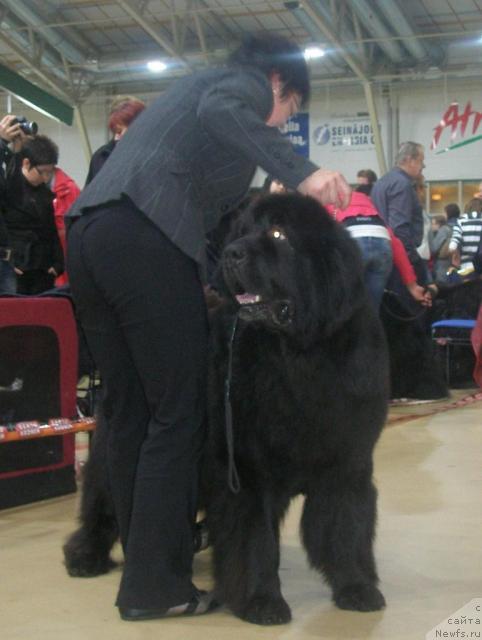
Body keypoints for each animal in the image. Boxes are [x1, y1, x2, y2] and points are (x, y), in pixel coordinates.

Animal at [64, 194, 390, 624]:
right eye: (242, 232)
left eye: (278, 234)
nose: (233, 253)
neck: (297, 355)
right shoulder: (246, 471)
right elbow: (255, 541)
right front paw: (262, 602)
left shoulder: (347, 460)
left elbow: (346, 529)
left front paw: (356, 589)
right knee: (100, 505)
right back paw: (85, 556)